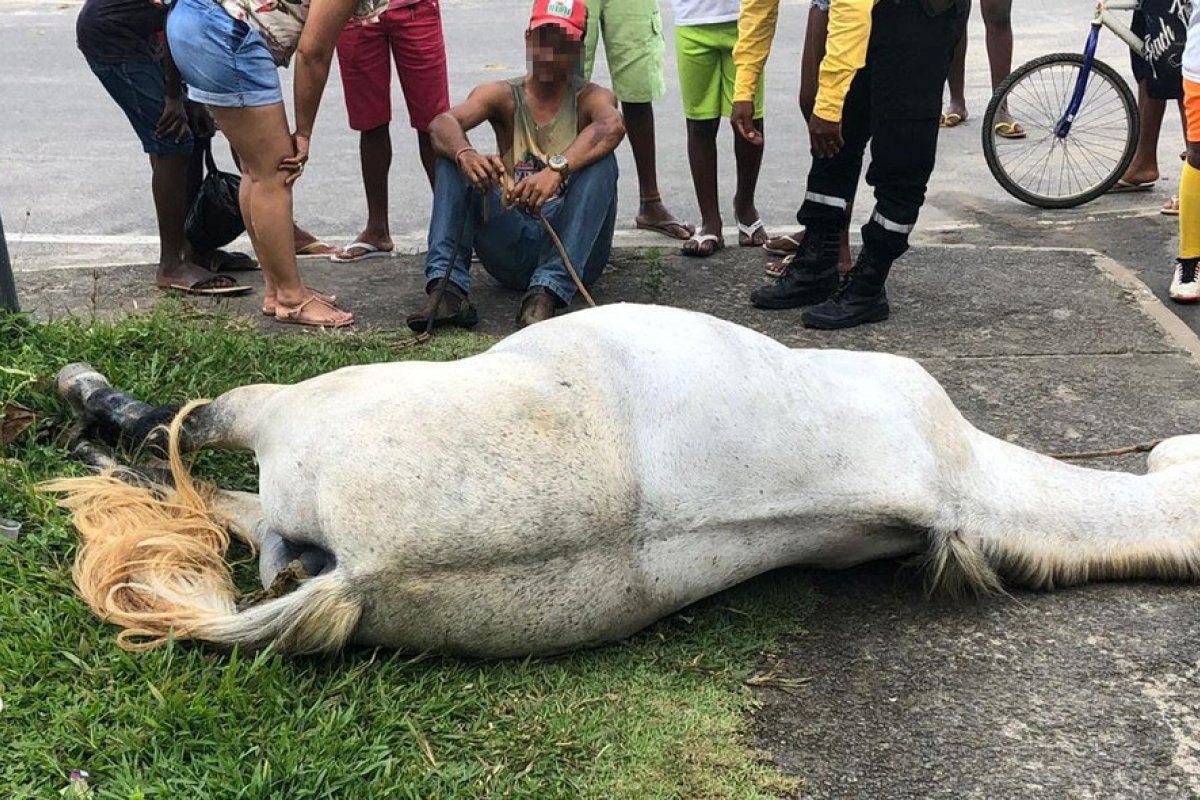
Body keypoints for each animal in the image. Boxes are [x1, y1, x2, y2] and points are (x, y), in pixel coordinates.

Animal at [47, 303, 1200, 658]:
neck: (952, 476)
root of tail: (368, 572)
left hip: (298, 410)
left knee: (195, 443)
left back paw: (86, 415)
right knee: (236, 524)